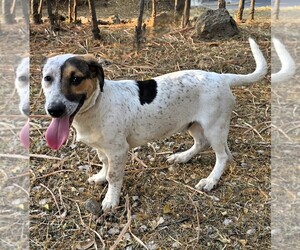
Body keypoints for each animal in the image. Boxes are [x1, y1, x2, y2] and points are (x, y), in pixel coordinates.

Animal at [40, 38, 268, 211]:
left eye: (76, 79)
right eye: (47, 78)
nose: (54, 110)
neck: (97, 104)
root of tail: (221, 77)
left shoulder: (119, 150)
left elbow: (114, 175)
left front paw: (111, 199)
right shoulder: (103, 148)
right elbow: (104, 163)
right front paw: (100, 176)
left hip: (214, 128)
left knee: (222, 156)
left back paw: (210, 180)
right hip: (194, 125)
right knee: (203, 144)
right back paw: (182, 157)